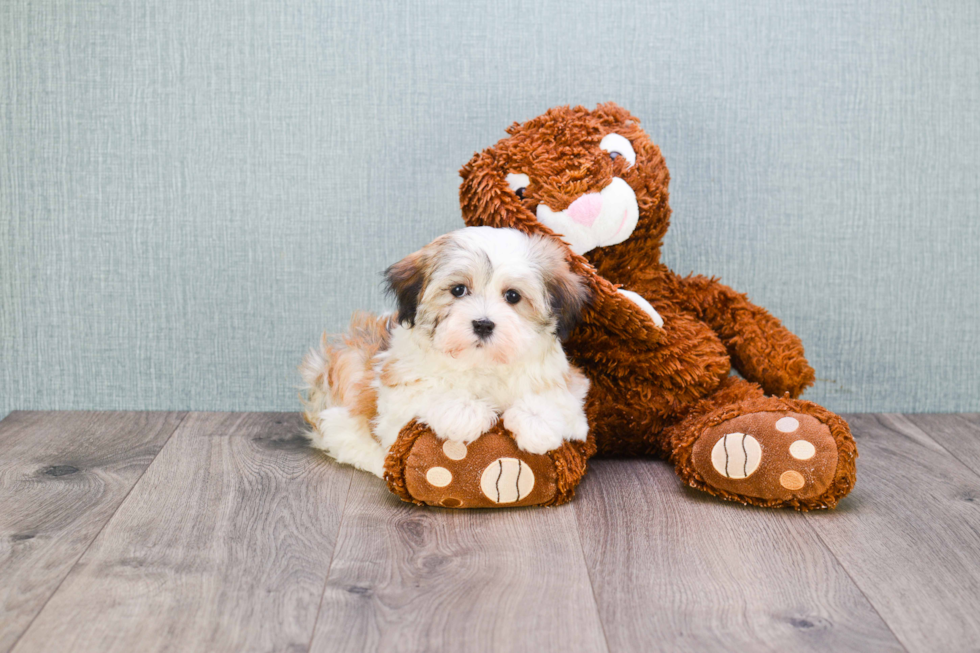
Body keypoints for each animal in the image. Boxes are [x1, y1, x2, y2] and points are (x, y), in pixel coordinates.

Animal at [298, 227, 588, 476]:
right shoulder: (397, 394)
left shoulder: (570, 386)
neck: (481, 363)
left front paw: (536, 422)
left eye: (513, 296)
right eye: (458, 290)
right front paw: (467, 411)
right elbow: (428, 393)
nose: (483, 324)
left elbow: (561, 402)